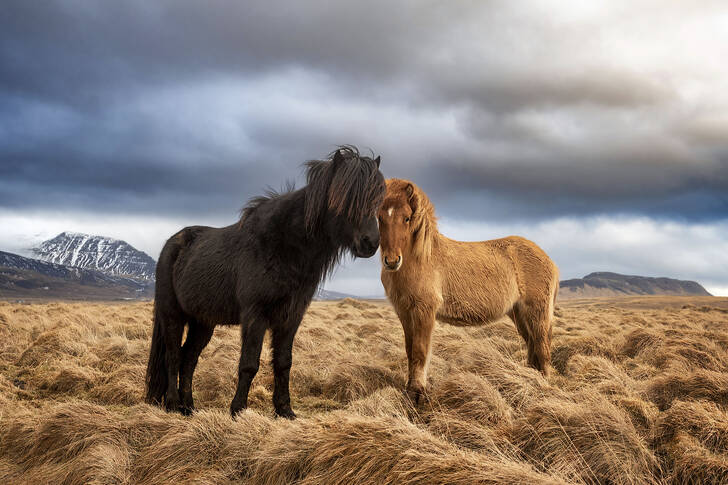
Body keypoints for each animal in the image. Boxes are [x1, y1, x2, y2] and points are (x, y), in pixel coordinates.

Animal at [145, 147, 385, 419]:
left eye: (377, 199)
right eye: (344, 197)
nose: (370, 243)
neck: (282, 247)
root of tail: (172, 243)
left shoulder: (291, 316)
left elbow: (283, 362)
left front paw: (285, 410)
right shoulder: (255, 314)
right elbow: (249, 364)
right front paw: (238, 410)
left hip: (203, 322)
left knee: (188, 358)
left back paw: (189, 407)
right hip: (172, 315)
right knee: (173, 356)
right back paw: (172, 404)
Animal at [378, 178, 559, 401]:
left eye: (406, 218)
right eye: (379, 217)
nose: (392, 261)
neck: (421, 258)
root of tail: (548, 259)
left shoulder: (424, 310)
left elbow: (420, 351)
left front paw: (418, 393)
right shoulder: (404, 312)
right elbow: (409, 350)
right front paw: (410, 390)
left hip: (536, 313)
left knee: (542, 347)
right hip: (518, 314)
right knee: (533, 345)